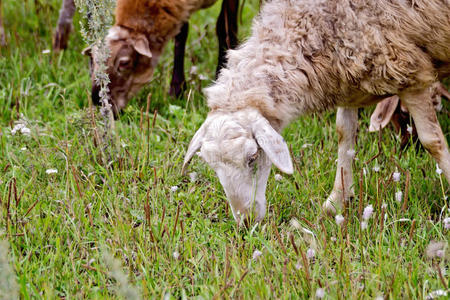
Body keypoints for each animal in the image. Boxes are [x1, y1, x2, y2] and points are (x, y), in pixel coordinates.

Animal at [85, 0, 239, 112]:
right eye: (93, 60)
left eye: (124, 63)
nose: (98, 102)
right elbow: (181, 33)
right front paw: (177, 90)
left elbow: (225, 28)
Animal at [183, 0, 450, 223]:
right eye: (212, 166)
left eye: (253, 157)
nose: (246, 222)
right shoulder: (348, 78)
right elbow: (344, 135)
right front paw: (336, 201)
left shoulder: (410, 72)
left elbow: (432, 141)